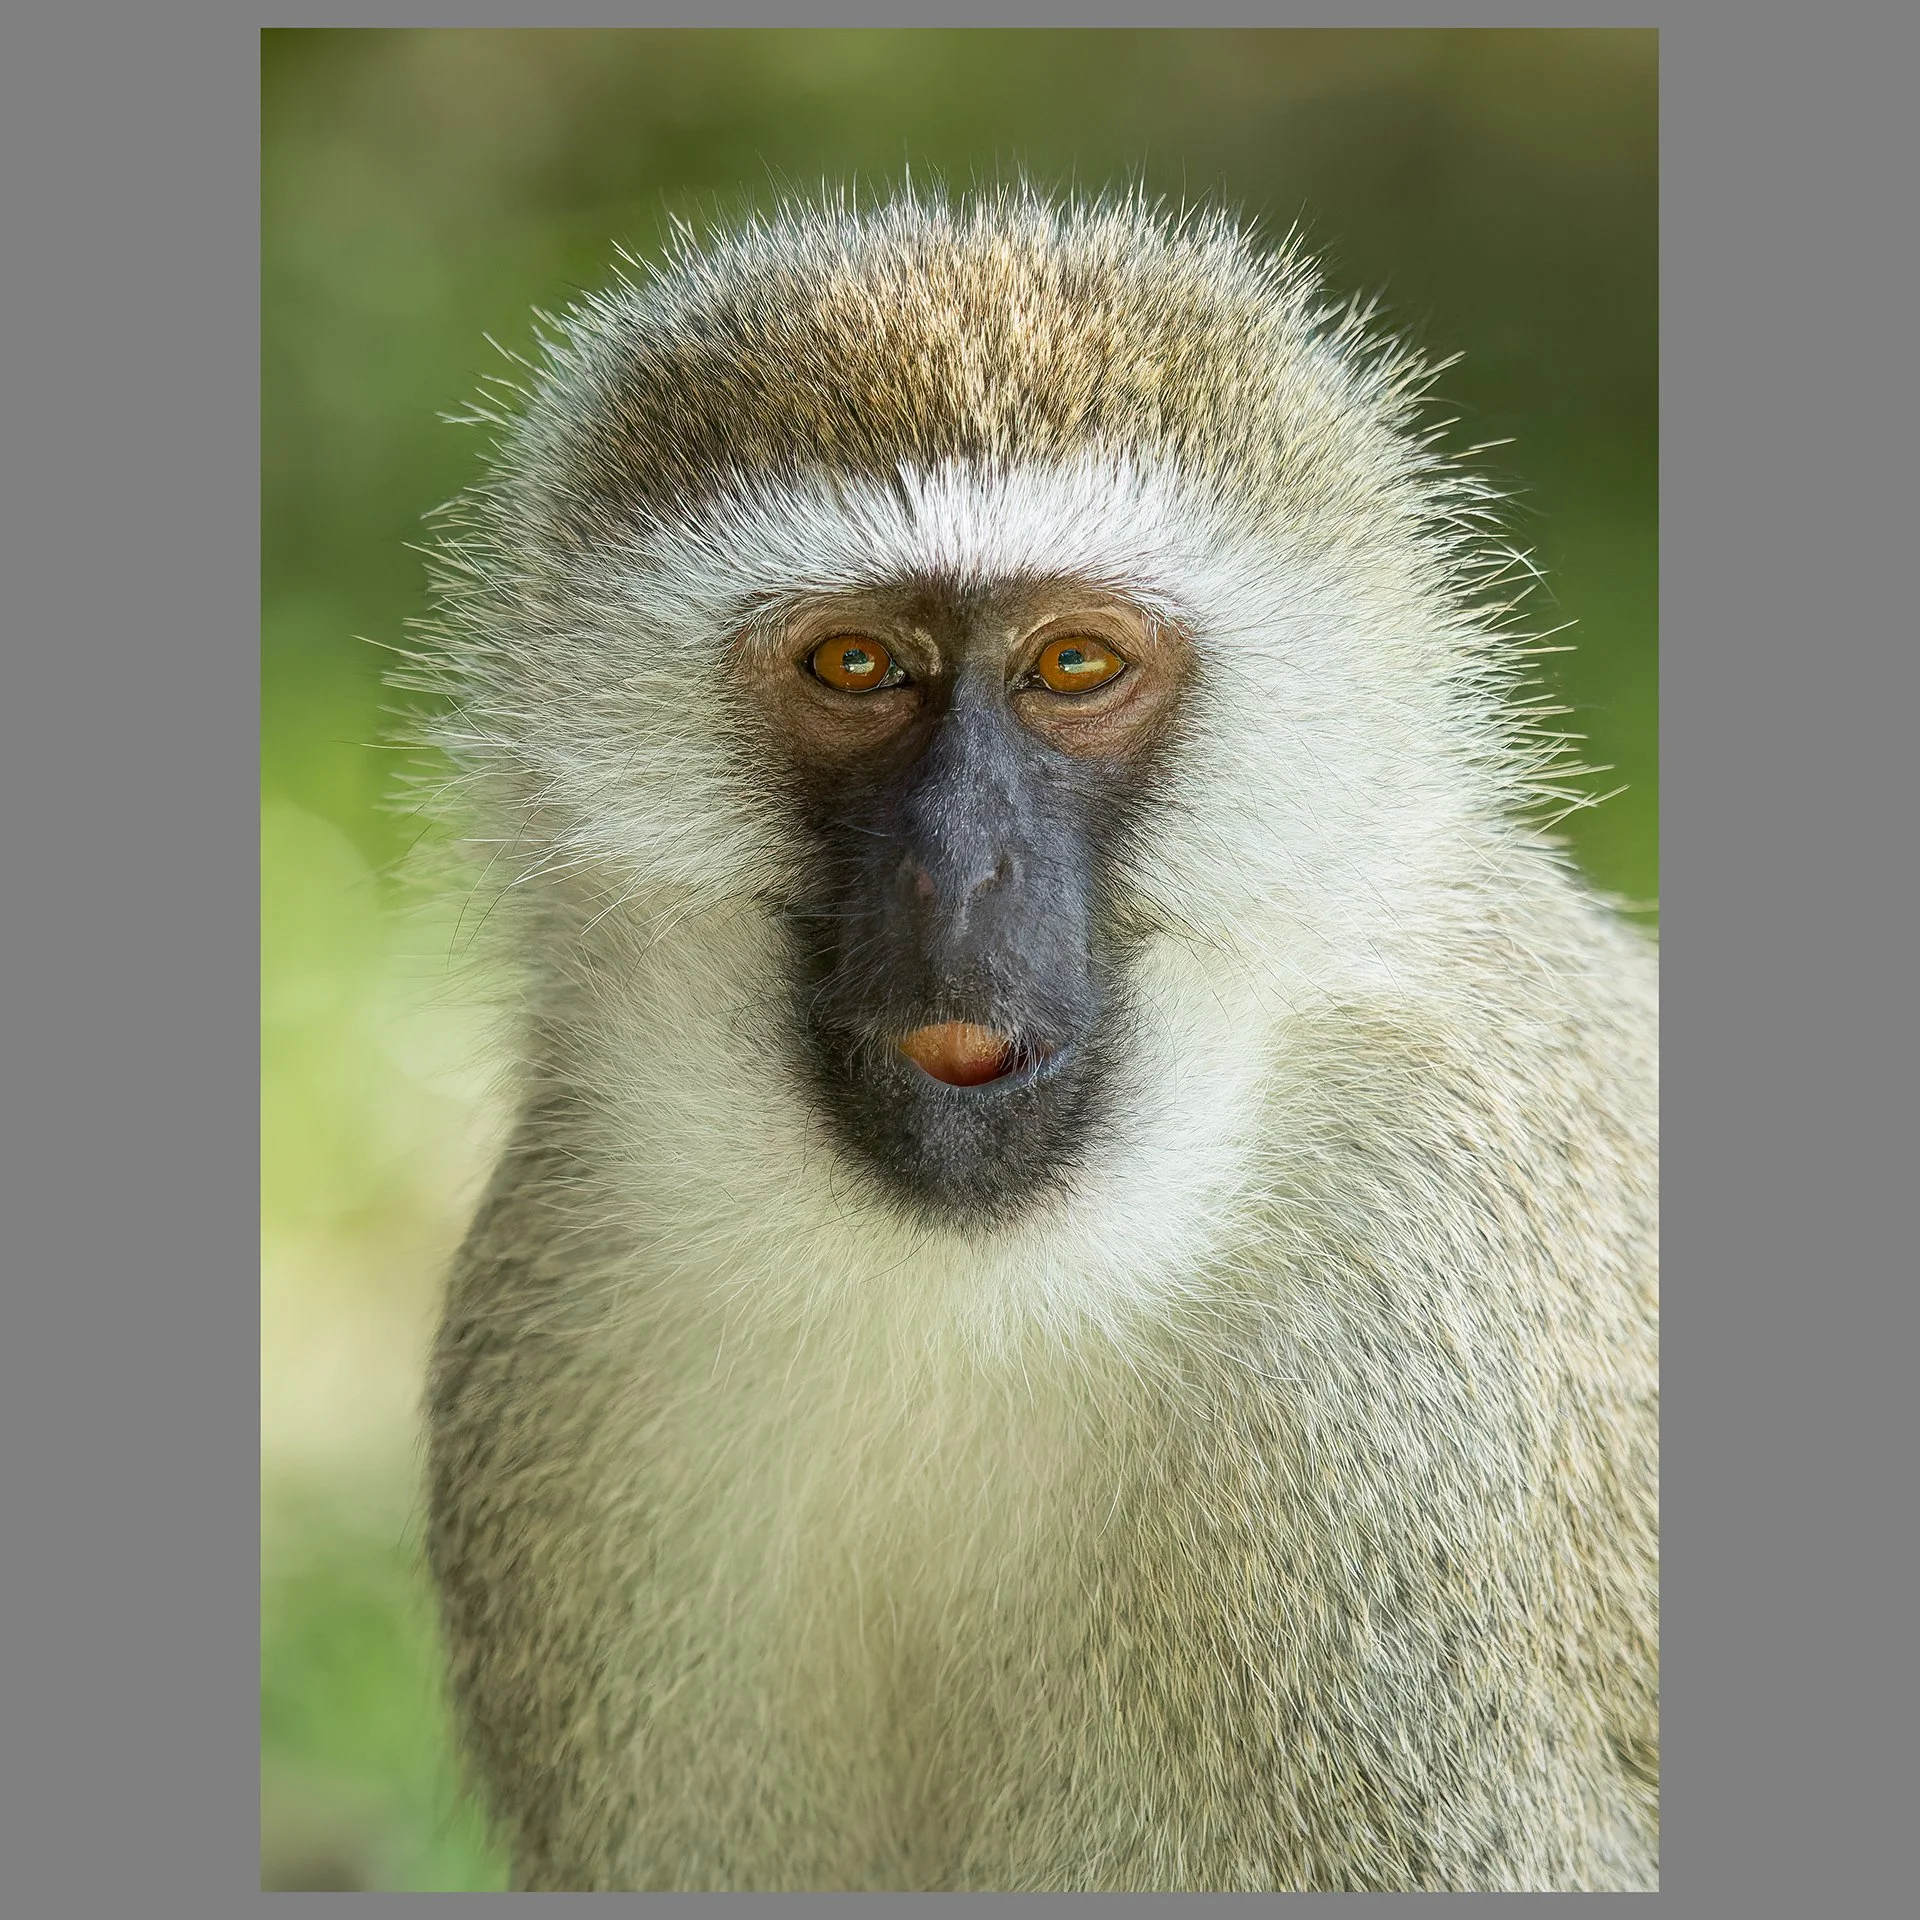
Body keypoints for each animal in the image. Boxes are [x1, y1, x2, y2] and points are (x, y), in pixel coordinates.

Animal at [411, 189, 1658, 1891]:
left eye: (1074, 665)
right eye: (857, 666)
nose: (962, 869)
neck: (976, 1294)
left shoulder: (1386, 1398)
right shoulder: (567, 1321)